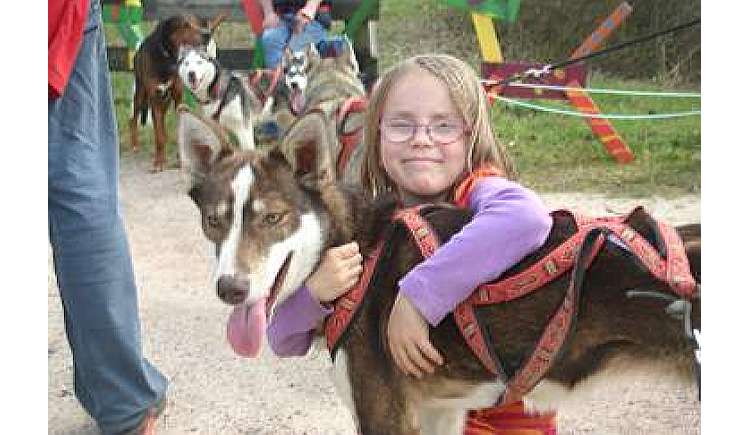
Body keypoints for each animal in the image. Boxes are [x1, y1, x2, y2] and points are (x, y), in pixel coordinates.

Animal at [130, 13, 226, 171]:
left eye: (197, 22)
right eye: (185, 24)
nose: (207, 34)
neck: (167, 59)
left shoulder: (177, 96)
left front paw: (180, 159)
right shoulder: (155, 98)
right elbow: (158, 135)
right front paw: (159, 162)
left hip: (166, 100)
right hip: (141, 94)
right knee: (134, 119)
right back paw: (135, 145)